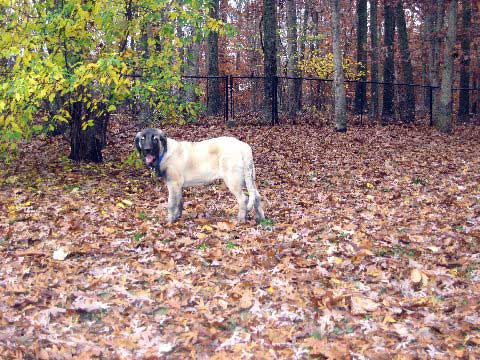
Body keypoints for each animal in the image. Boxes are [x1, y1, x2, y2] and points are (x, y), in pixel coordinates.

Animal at [134, 128, 266, 224]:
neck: (164, 152)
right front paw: (177, 217)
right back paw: (261, 218)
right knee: (256, 196)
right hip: (247, 178)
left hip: (233, 179)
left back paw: (240, 219)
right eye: (142, 139)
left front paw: (169, 221)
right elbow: (179, 202)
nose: (147, 150)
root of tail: (243, 147)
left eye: (155, 139)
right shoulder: (178, 186)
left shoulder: (173, 184)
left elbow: (171, 204)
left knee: (243, 199)